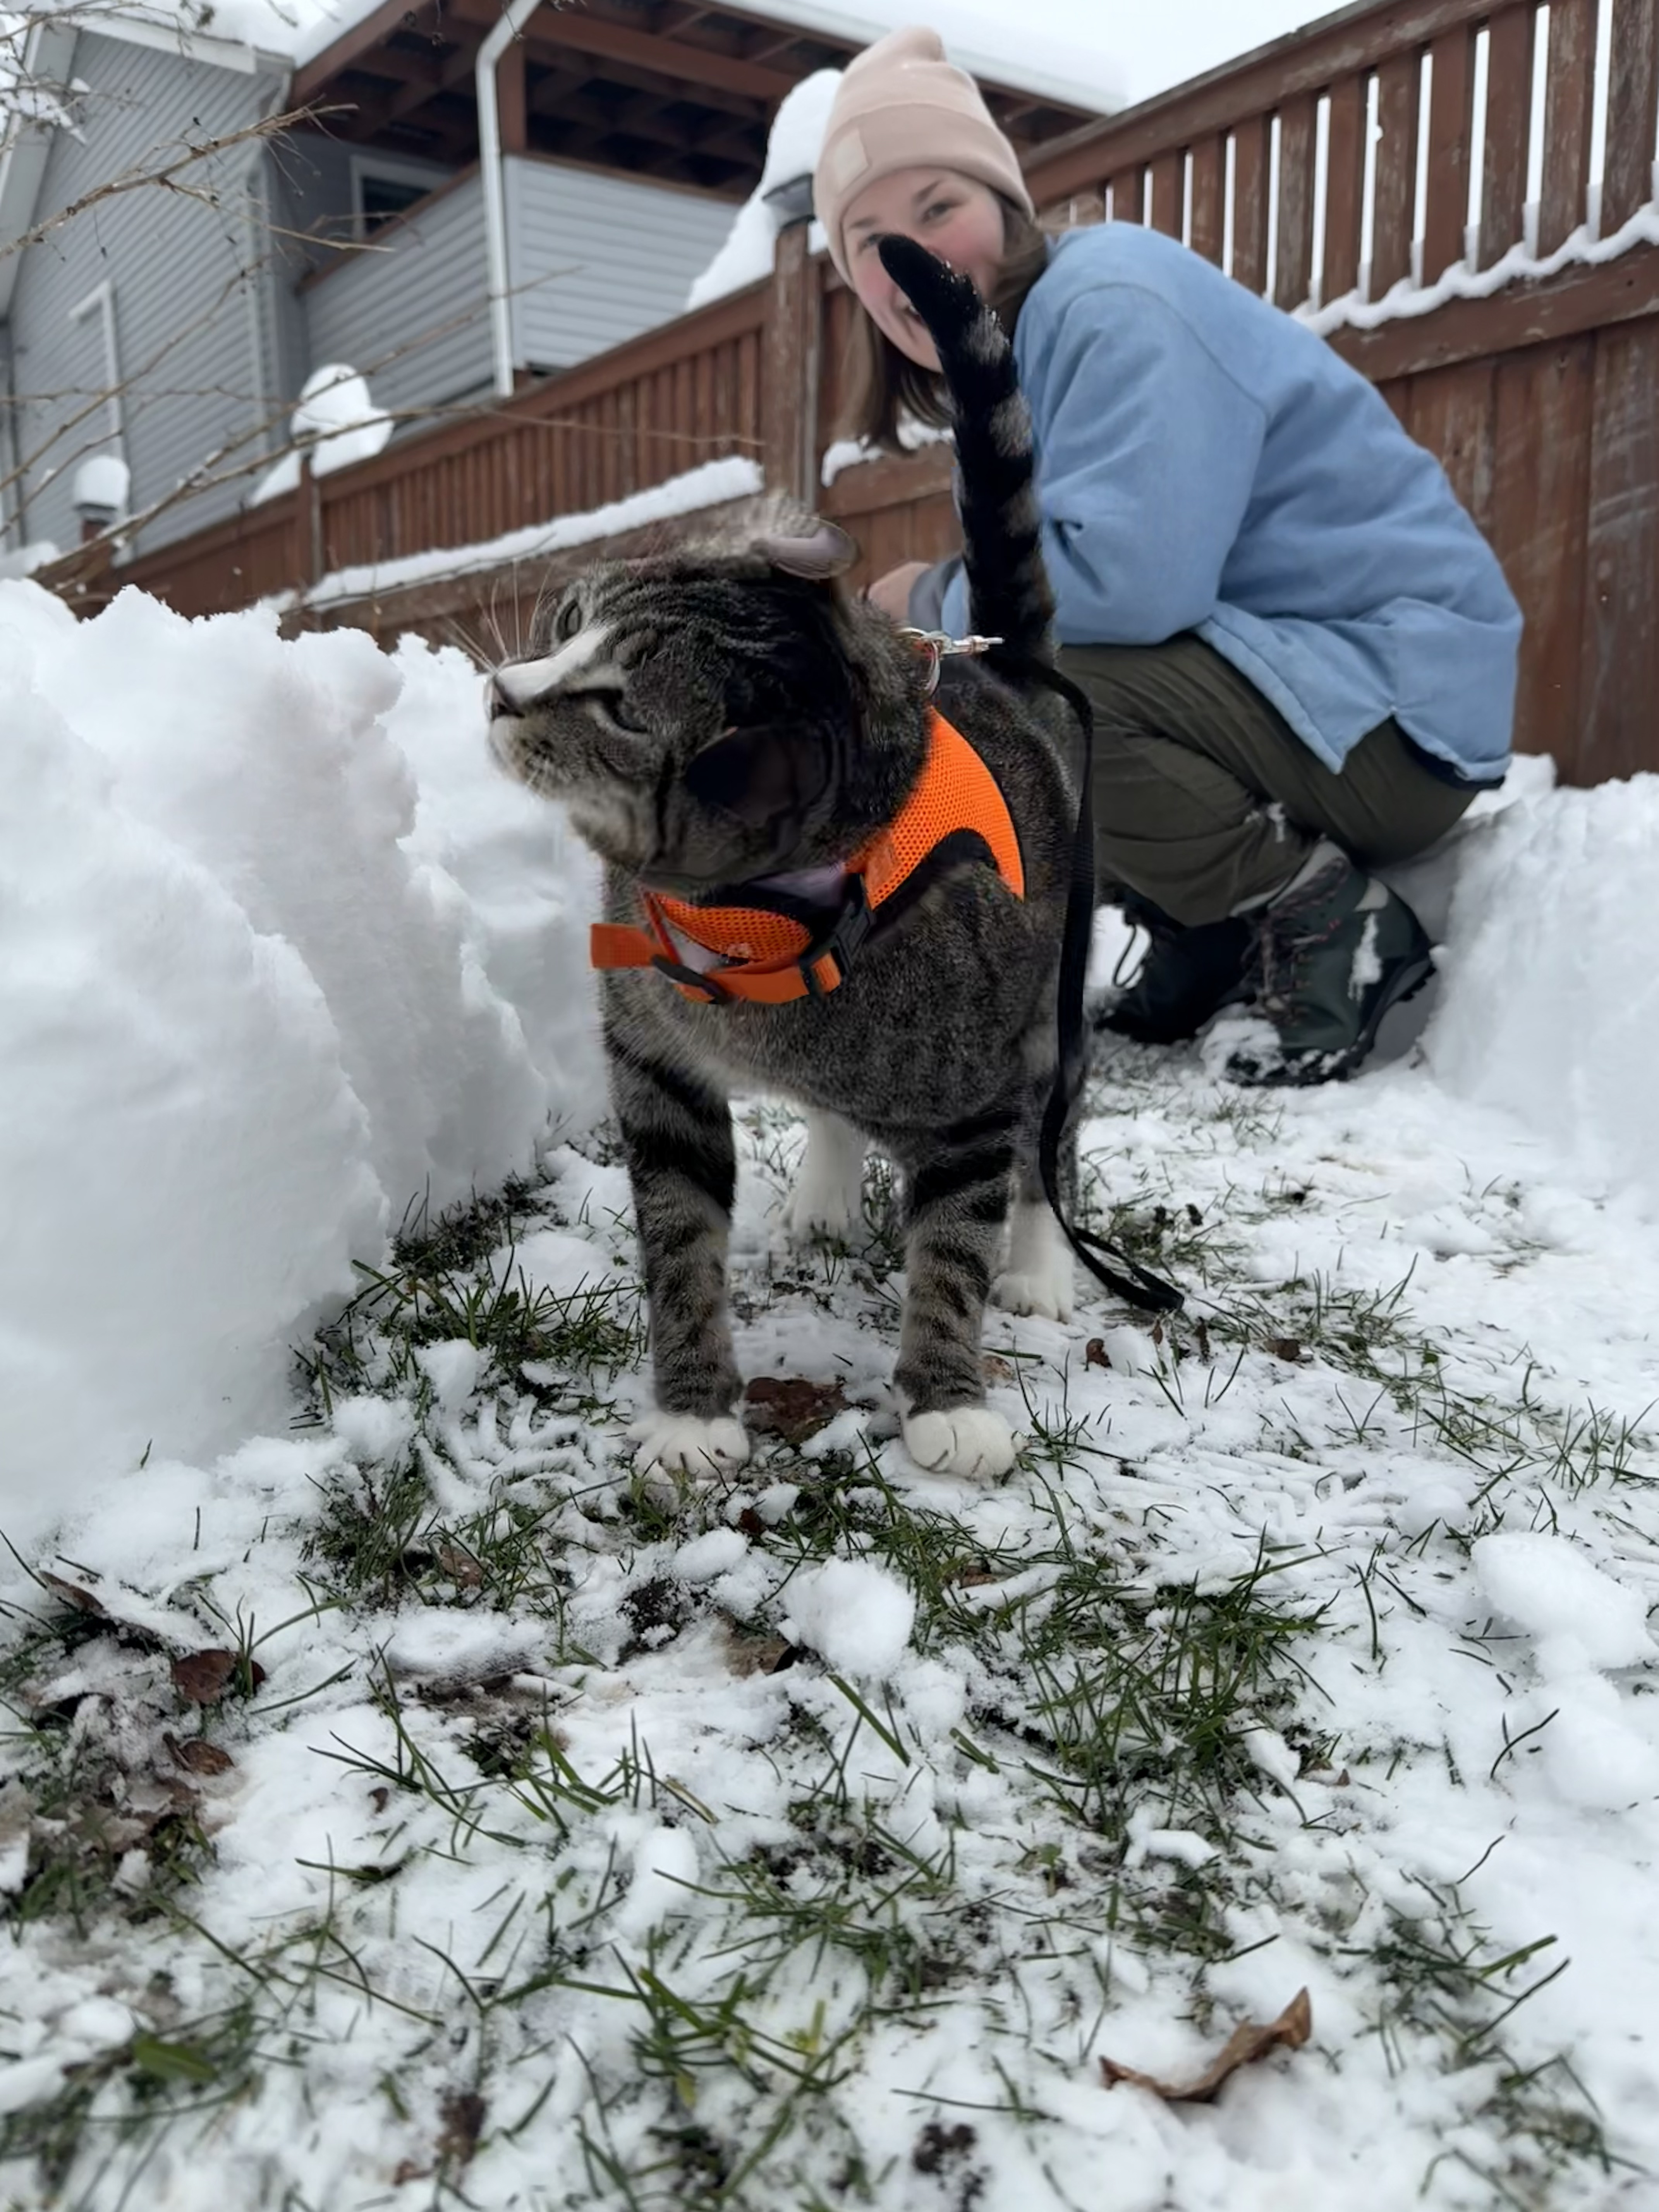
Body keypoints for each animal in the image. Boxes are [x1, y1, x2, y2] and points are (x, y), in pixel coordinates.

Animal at [491, 238, 1092, 1486]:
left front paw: (948, 1395)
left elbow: (954, 1247)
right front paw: (692, 1411)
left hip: (1052, 1009)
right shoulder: (656, 1070)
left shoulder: (973, 1102)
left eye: (614, 708)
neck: (750, 925)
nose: (500, 689)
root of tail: (1007, 669)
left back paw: (1041, 1262)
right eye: (565, 620)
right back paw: (825, 1187)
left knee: (1051, 1140)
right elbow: (678, 1243)